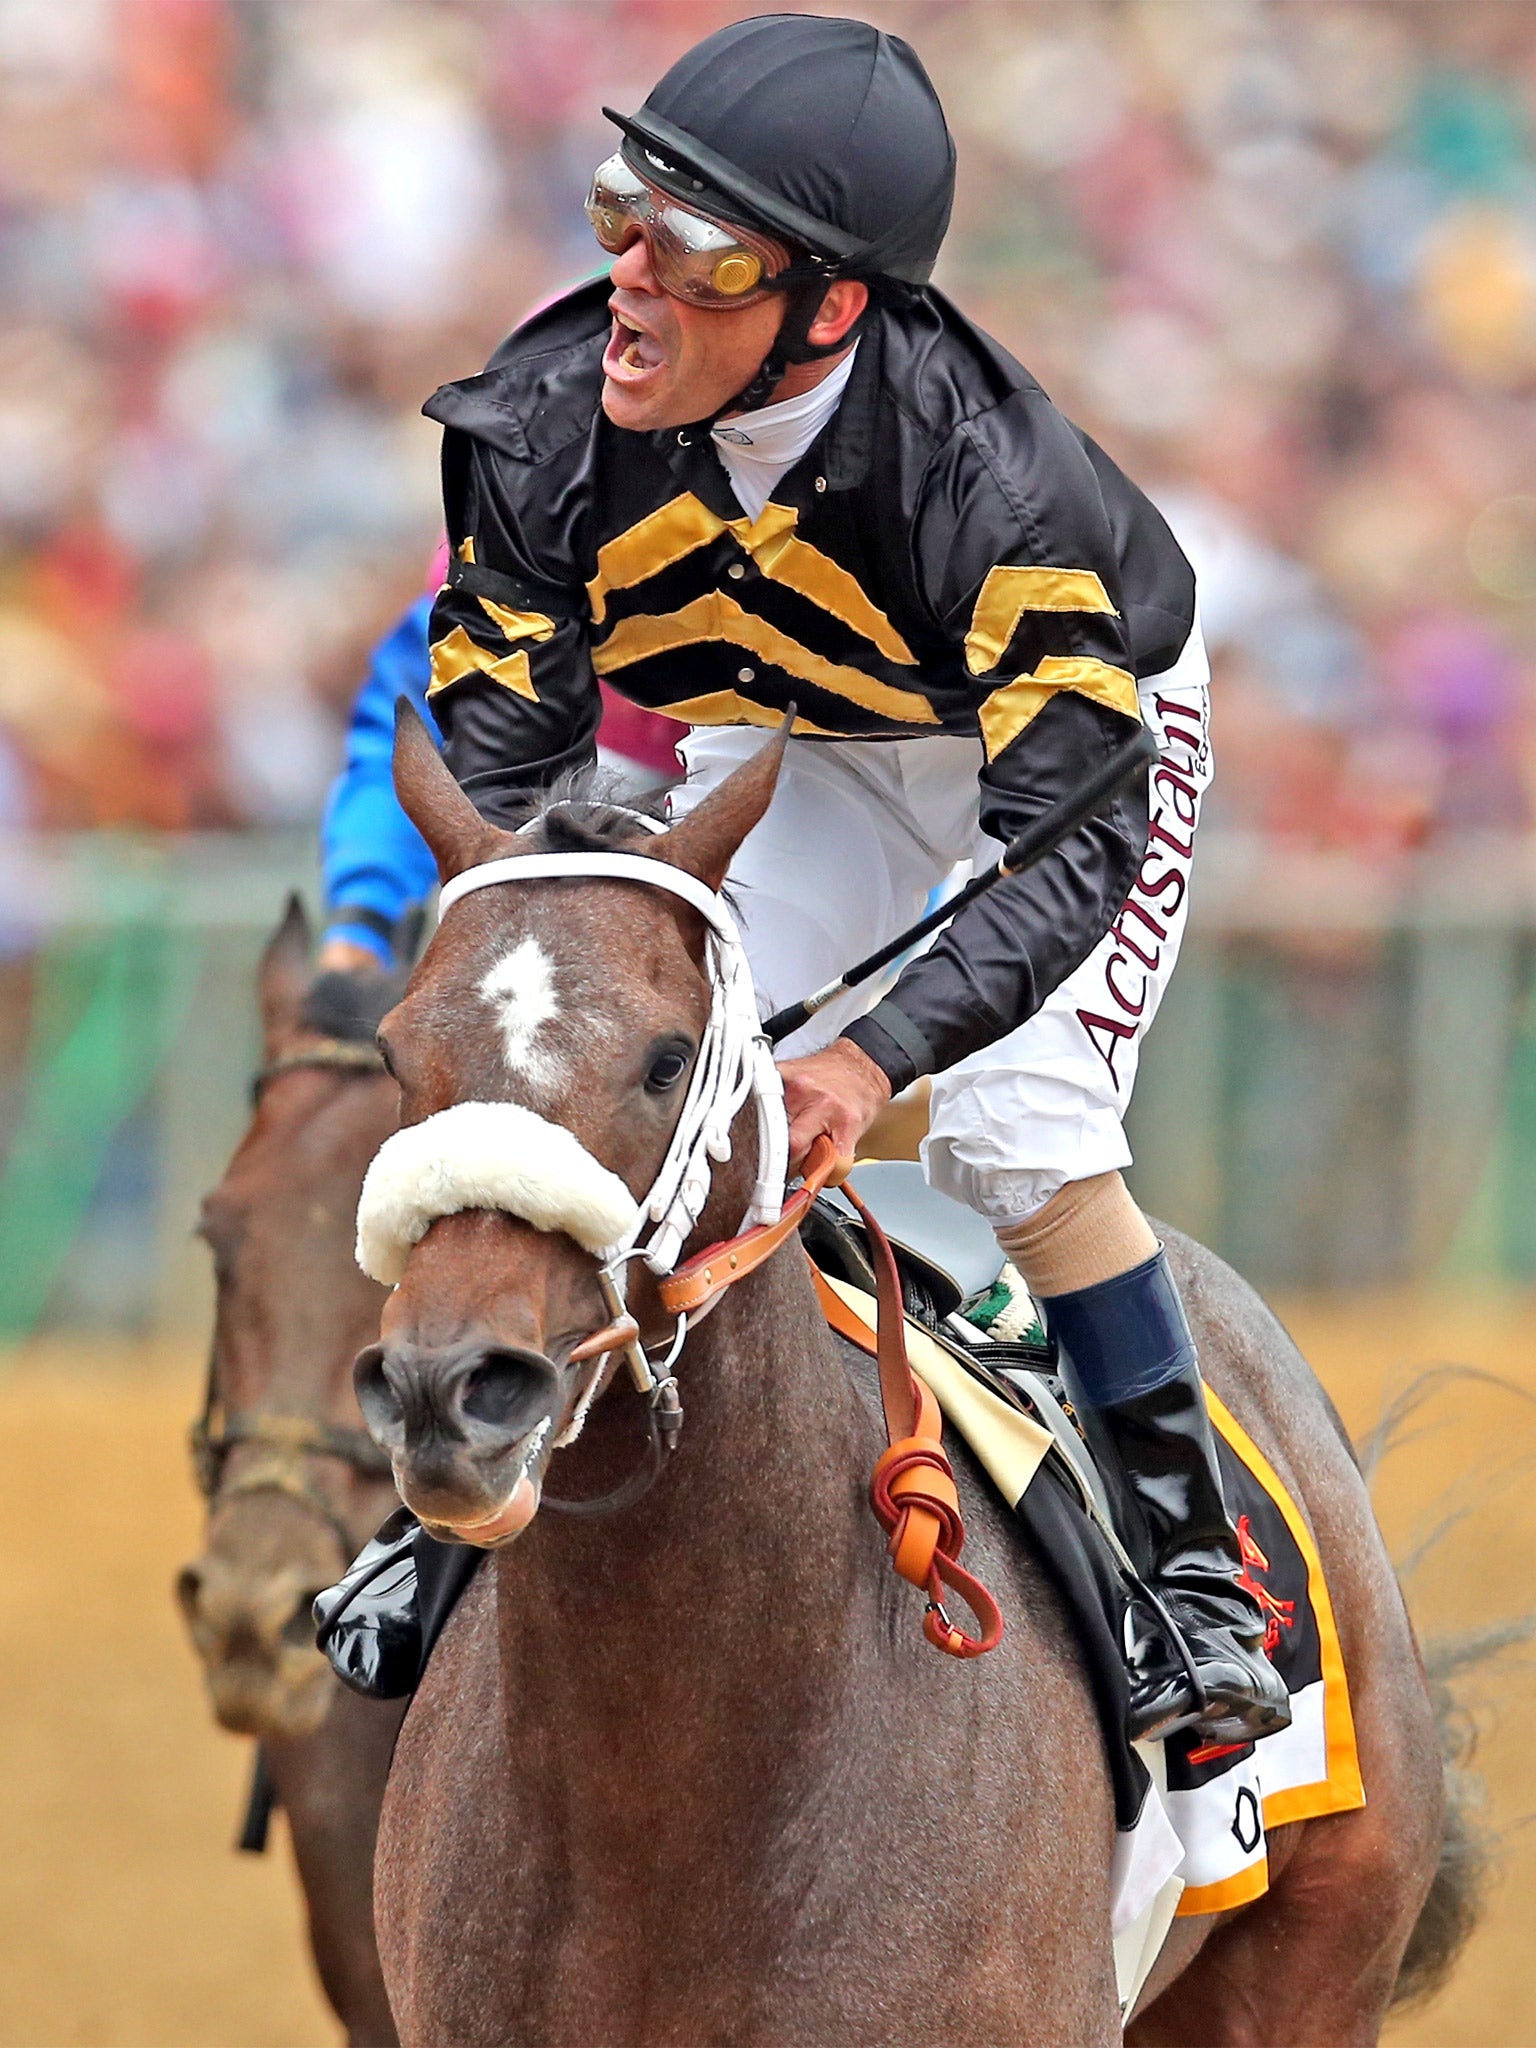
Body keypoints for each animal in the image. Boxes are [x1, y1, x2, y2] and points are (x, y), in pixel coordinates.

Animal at [360, 708, 1482, 2048]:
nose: (451, 1390)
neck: (664, 1801)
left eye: (667, 1059)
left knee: (1032, 1138)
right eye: (395, 1049)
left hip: (1318, 1963)